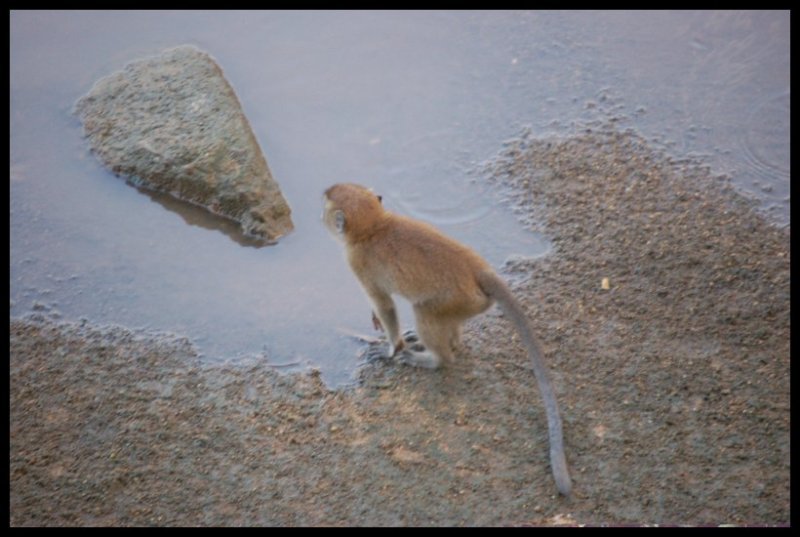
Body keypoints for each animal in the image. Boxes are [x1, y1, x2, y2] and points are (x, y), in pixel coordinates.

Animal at [322, 183, 572, 497]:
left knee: (425, 312)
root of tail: (477, 268)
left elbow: (385, 305)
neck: (376, 226)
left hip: (455, 299)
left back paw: (436, 359)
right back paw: (444, 345)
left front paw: (391, 348)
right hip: (468, 304)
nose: (320, 217)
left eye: (326, 206)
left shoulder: (359, 263)